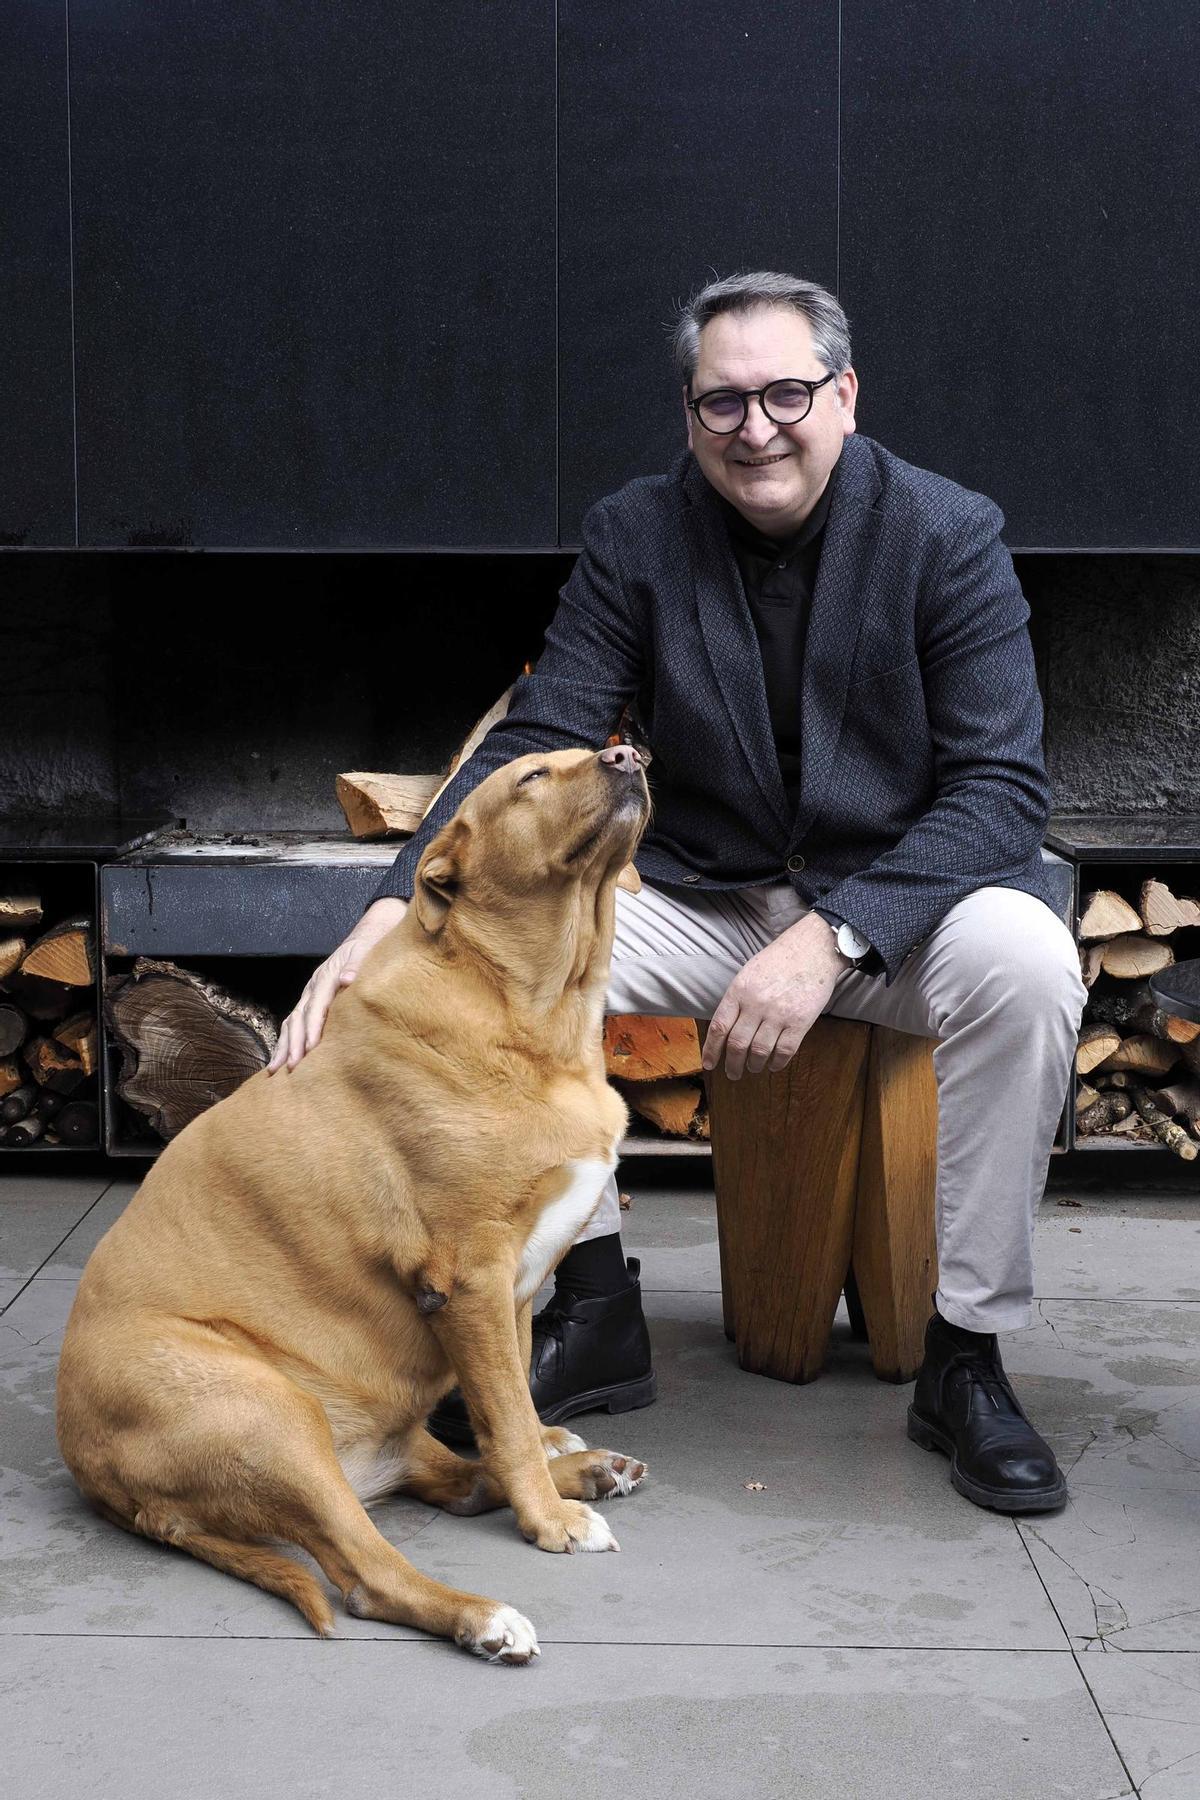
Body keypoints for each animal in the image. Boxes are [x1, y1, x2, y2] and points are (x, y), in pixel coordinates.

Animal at [55, 741, 651, 1656]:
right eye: (532, 778)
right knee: (368, 1572)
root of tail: (89, 1468)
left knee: (453, 1477)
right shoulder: (470, 1277)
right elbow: (508, 1420)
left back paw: (585, 1471)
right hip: (273, 1417)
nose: (630, 754)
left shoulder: (512, 1284)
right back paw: (487, 1615)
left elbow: (510, 1404)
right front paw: (548, 1520)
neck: (525, 1007)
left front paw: (553, 1468)